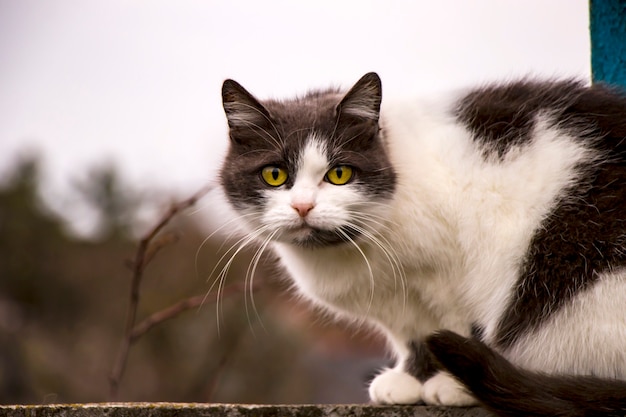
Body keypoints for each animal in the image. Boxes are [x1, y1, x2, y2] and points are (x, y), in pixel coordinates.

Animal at [217, 72, 624, 416]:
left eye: (339, 174)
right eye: (274, 175)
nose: (303, 206)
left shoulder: (460, 273)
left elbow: (463, 324)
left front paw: (453, 386)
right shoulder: (401, 301)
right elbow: (411, 334)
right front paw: (408, 379)